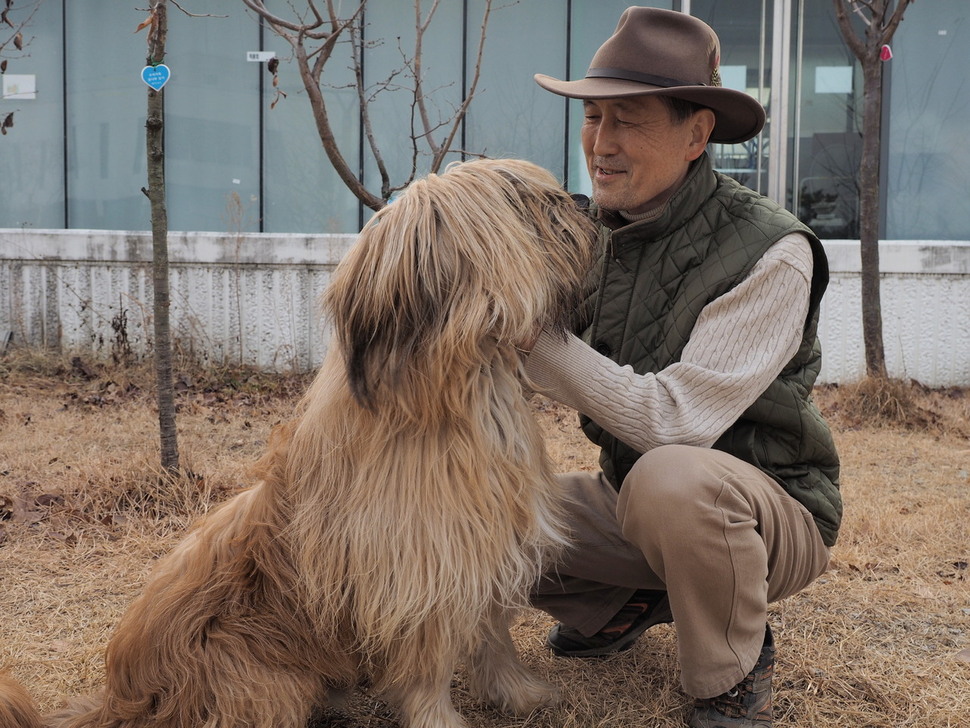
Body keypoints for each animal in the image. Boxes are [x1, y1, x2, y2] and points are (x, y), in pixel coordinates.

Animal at [1, 159, 596, 728]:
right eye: (522, 200)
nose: (585, 202)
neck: (461, 397)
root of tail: (120, 699)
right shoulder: (422, 580)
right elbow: (427, 672)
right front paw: (443, 721)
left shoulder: (490, 555)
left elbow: (495, 640)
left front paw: (522, 695)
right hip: (262, 679)